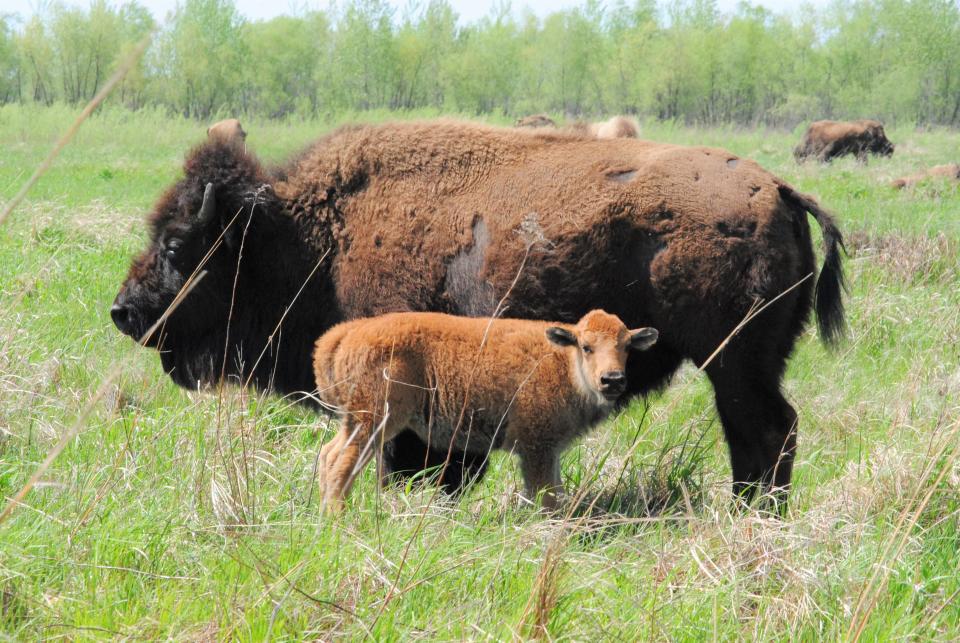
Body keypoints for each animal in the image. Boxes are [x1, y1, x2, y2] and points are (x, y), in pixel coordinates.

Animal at [316, 308, 660, 512]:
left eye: (626, 346)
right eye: (587, 347)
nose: (612, 379)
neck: (563, 362)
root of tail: (346, 333)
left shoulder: (550, 451)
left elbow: (555, 488)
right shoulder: (536, 447)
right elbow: (545, 494)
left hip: (355, 422)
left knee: (328, 454)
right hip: (374, 421)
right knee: (341, 463)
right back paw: (338, 519)